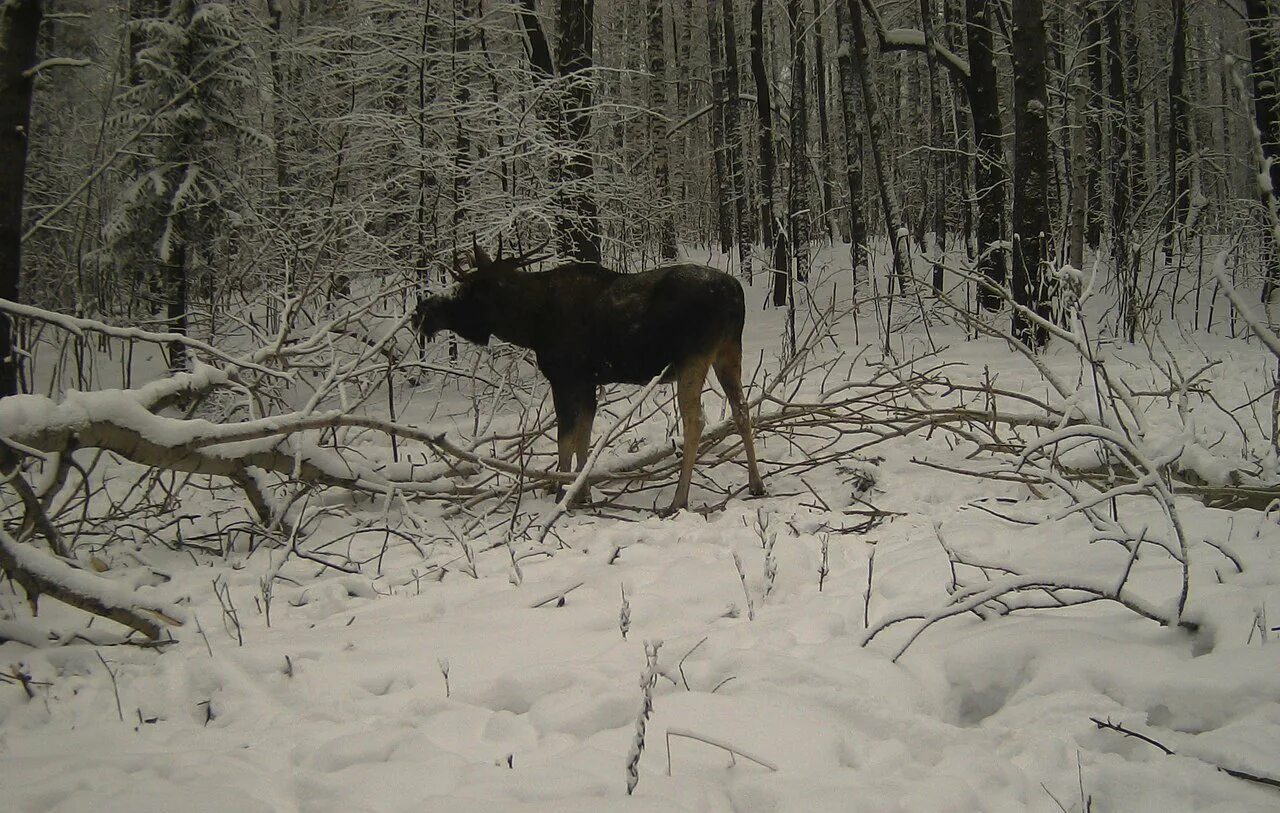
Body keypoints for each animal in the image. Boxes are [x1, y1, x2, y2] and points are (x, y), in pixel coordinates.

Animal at [414, 247, 762, 514]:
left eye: (466, 289)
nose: (422, 311)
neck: (529, 324)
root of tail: (735, 293)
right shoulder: (589, 382)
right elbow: (585, 434)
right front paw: (582, 493)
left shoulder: (565, 377)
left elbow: (565, 437)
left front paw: (561, 494)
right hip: (728, 352)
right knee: (742, 409)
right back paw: (756, 484)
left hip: (692, 357)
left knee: (695, 420)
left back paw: (678, 500)